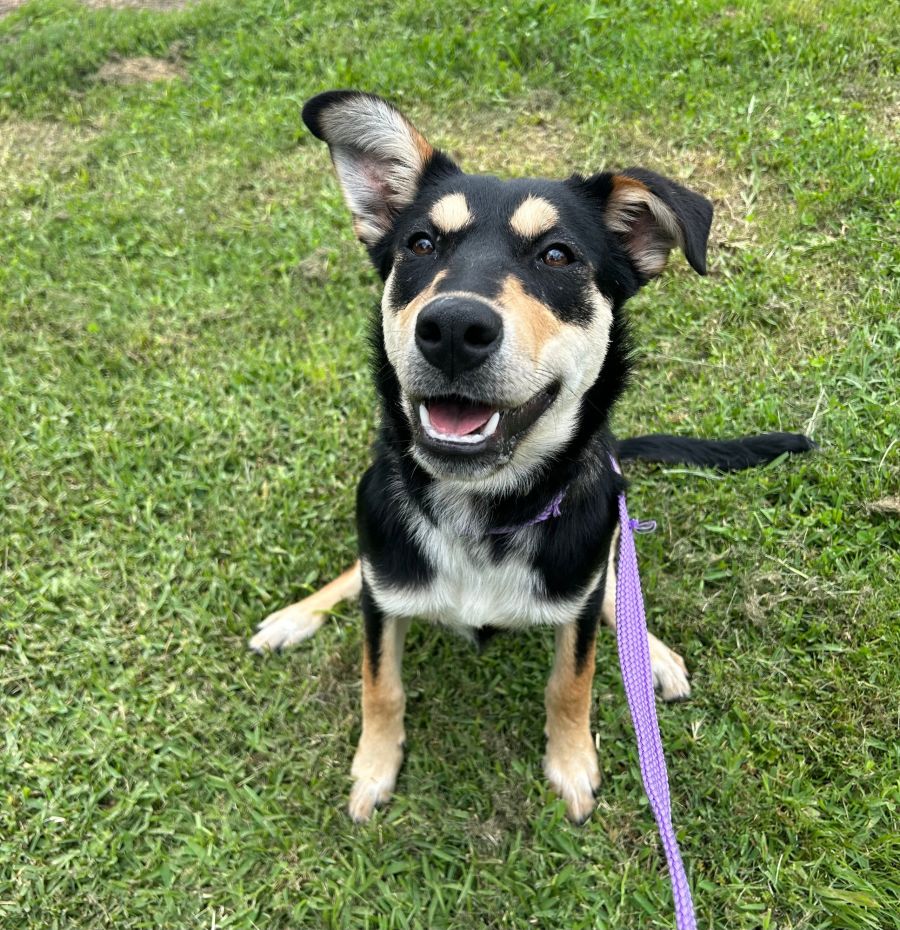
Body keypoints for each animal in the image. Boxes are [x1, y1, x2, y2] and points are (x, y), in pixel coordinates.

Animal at [248, 92, 816, 820]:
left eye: (557, 255)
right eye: (420, 244)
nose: (452, 328)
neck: (481, 512)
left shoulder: (578, 595)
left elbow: (571, 682)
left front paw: (572, 764)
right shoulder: (385, 592)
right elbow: (382, 684)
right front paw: (374, 767)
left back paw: (651, 654)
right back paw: (295, 618)